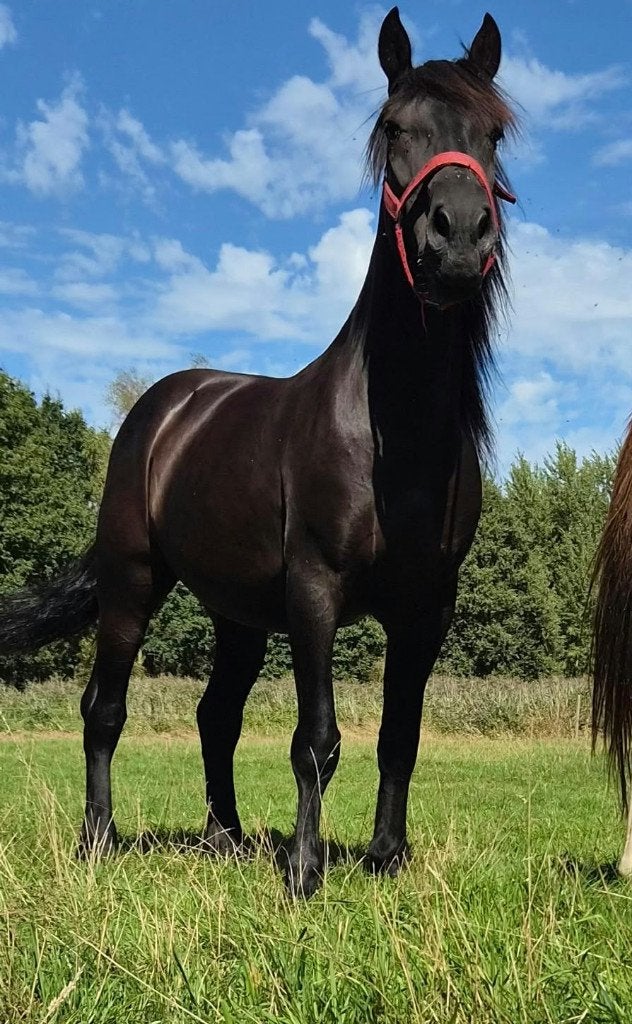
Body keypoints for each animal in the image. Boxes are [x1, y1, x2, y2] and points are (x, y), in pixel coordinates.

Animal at [0, 8, 517, 897]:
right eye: (394, 127)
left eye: (493, 132)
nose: (457, 240)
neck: (394, 437)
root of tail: (164, 410)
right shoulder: (314, 591)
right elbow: (317, 739)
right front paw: (305, 872)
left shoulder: (428, 608)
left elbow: (400, 736)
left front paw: (385, 858)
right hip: (133, 582)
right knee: (104, 708)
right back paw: (98, 839)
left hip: (237, 614)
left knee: (216, 716)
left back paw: (227, 836)